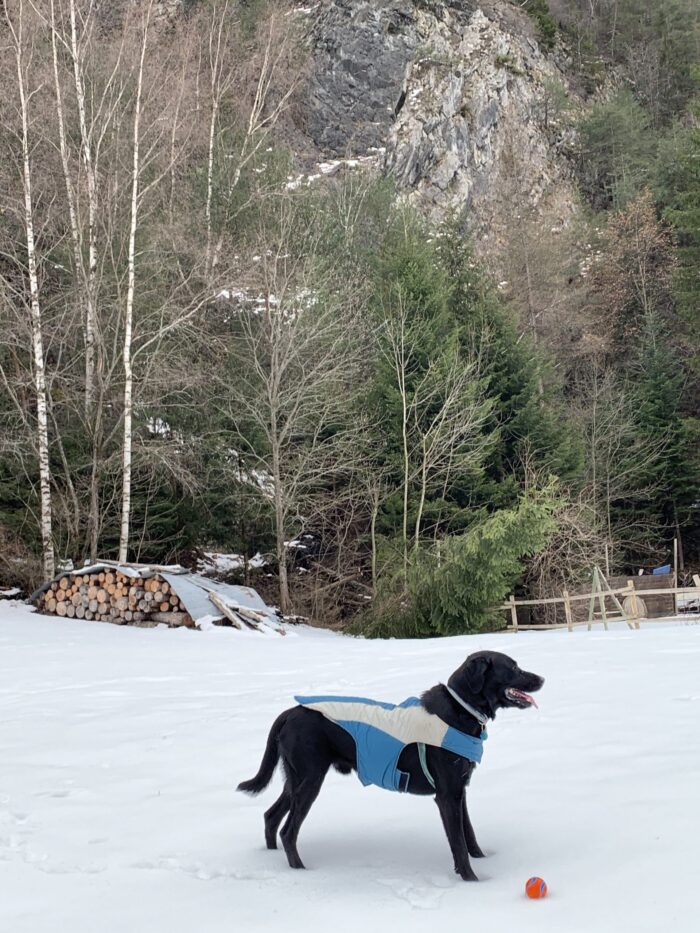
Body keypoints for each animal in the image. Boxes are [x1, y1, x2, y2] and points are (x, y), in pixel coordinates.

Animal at [238, 652, 544, 876]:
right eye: (514, 668)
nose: (541, 678)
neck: (460, 710)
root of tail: (291, 711)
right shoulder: (446, 796)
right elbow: (458, 843)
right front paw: (471, 880)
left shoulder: (460, 790)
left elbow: (469, 834)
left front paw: (482, 861)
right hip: (310, 778)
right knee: (288, 831)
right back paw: (301, 873)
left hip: (295, 778)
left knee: (271, 817)